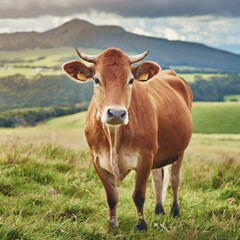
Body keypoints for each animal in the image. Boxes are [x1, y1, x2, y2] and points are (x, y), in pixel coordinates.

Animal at [62, 48, 193, 231]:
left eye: (131, 80)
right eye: (96, 79)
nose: (116, 113)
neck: (114, 136)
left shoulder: (145, 157)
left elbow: (138, 195)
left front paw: (141, 225)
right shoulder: (97, 160)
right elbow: (112, 196)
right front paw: (112, 225)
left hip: (179, 151)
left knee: (175, 179)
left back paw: (175, 211)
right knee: (158, 179)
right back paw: (159, 210)